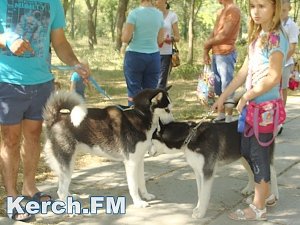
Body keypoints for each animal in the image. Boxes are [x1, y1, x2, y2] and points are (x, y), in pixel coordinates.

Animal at [42, 88, 173, 207]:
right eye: (167, 109)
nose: (172, 122)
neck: (140, 115)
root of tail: (55, 118)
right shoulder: (131, 163)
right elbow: (133, 186)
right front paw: (138, 202)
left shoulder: (139, 160)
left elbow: (142, 182)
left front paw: (146, 196)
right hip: (67, 163)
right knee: (60, 191)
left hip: (69, 163)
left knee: (63, 186)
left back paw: (70, 197)